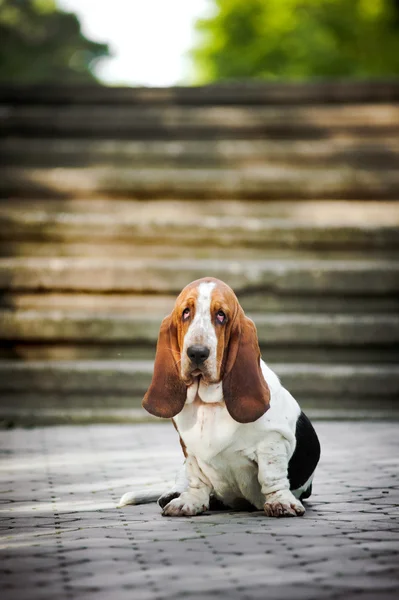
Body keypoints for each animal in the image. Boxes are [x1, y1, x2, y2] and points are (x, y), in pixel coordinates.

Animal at [119, 276, 322, 516]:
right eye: (186, 312)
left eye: (221, 315)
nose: (197, 353)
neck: (209, 402)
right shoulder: (190, 450)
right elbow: (197, 478)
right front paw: (190, 502)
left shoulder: (273, 440)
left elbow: (272, 476)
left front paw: (281, 502)